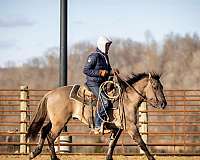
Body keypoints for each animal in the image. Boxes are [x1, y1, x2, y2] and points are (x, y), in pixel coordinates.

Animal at [26, 72, 167, 160]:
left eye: (162, 86)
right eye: (155, 86)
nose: (163, 103)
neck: (127, 100)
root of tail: (50, 93)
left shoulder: (118, 128)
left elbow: (112, 144)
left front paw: (108, 158)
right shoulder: (131, 127)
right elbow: (141, 143)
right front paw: (152, 158)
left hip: (55, 121)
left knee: (44, 130)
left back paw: (34, 153)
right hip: (60, 122)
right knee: (50, 137)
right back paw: (54, 158)